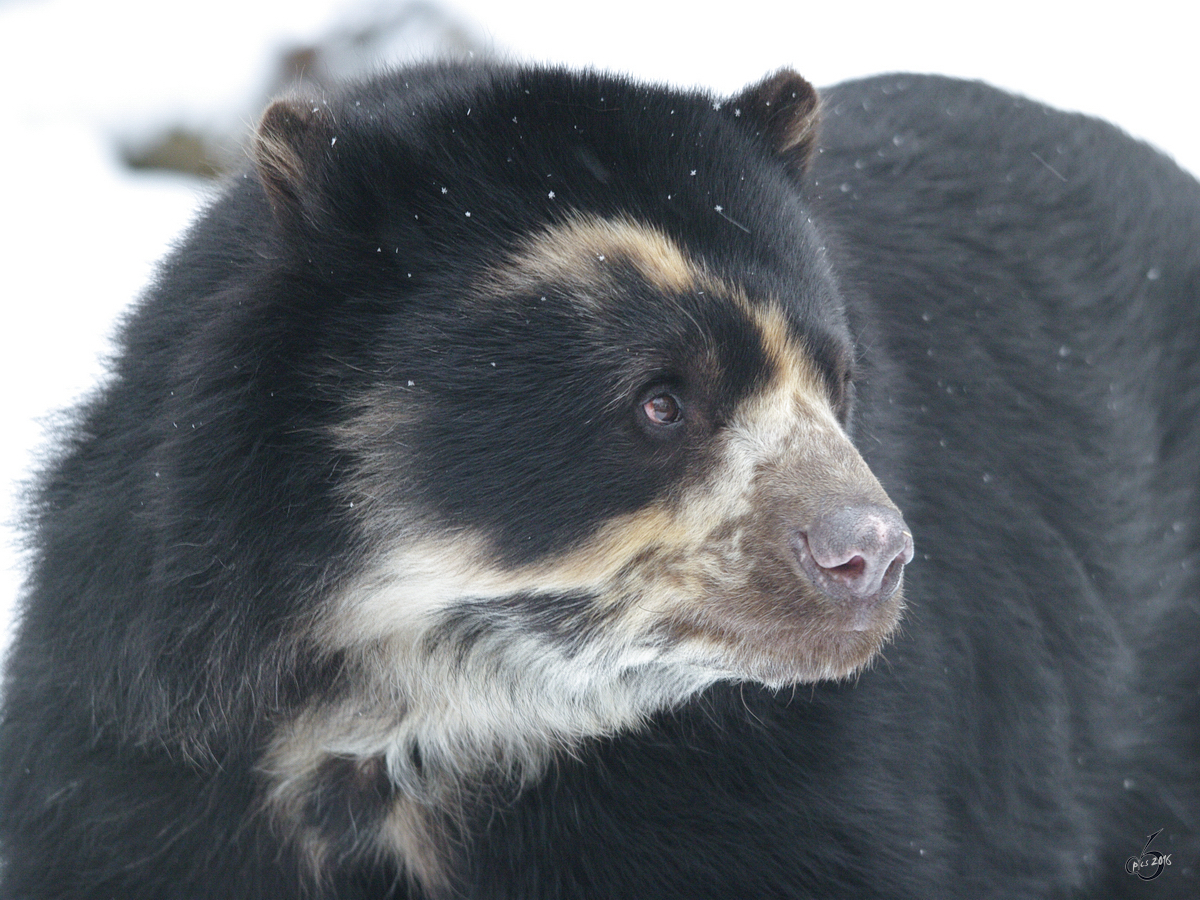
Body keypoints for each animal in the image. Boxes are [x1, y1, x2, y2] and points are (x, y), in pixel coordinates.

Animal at [2, 63, 1200, 900]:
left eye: (840, 381)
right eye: (660, 400)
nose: (868, 556)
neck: (420, 715)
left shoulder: (783, 797)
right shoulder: (133, 747)